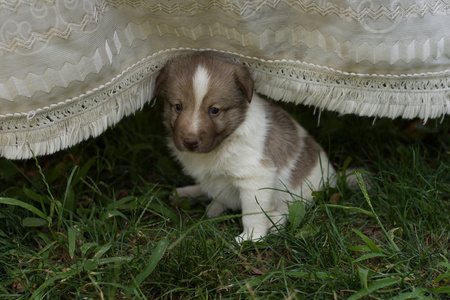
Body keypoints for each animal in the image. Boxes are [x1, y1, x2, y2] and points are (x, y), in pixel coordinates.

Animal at [153, 53, 340, 241]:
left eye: (215, 110)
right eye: (178, 106)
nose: (190, 142)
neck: (224, 141)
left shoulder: (255, 177)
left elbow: (252, 213)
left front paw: (250, 237)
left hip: (306, 190)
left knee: (293, 206)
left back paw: (274, 221)